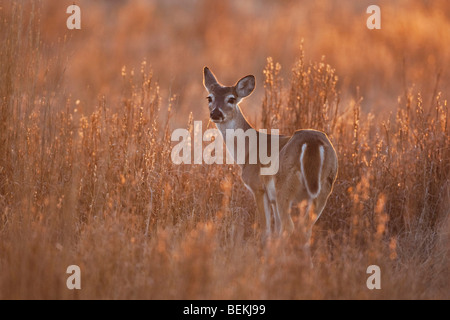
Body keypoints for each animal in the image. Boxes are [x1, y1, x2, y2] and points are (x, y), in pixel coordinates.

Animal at [204, 65, 338, 250]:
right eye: (209, 97)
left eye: (231, 99)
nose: (216, 113)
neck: (248, 151)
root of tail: (313, 143)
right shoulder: (272, 197)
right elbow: (277, 229)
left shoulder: (258, 187)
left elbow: (266, 229)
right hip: (324, 186)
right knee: (304, 230)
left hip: (285, 186)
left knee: (290, 227)